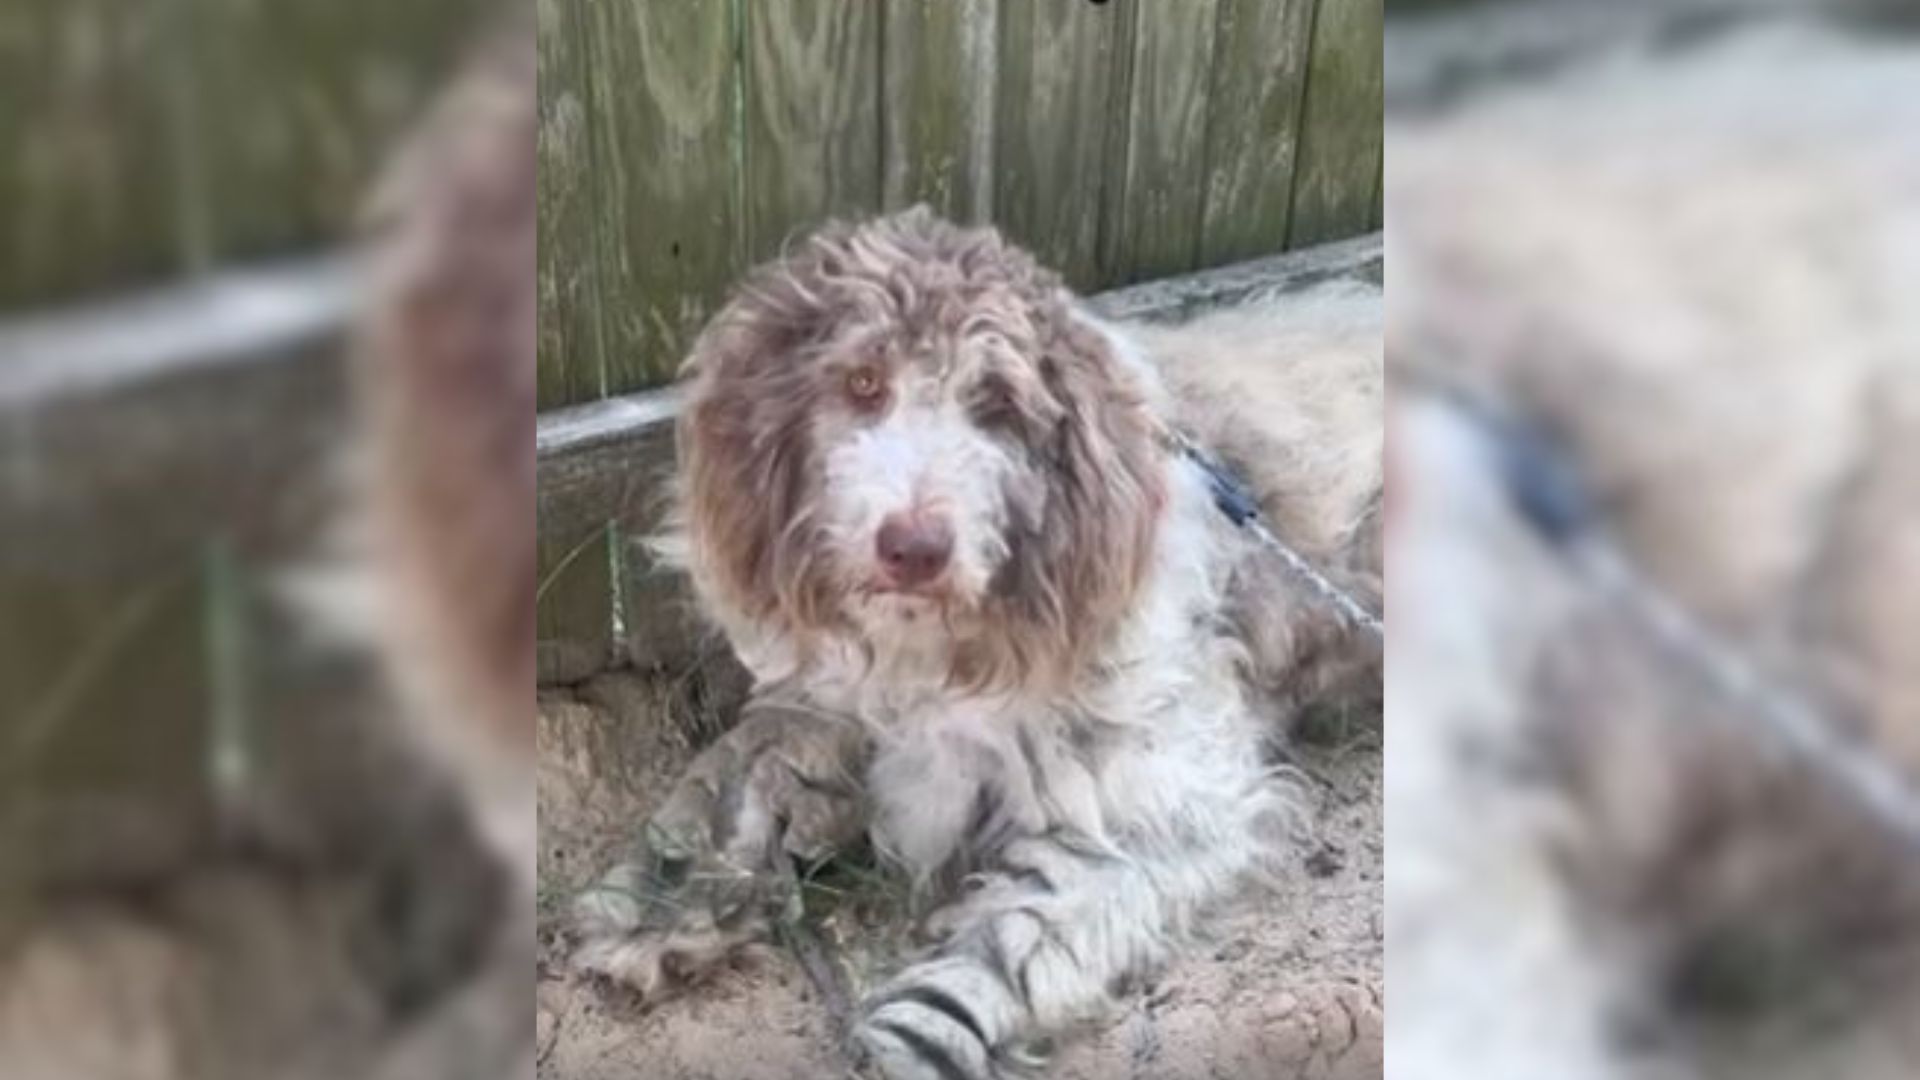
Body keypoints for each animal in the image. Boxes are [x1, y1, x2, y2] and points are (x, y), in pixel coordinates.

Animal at [568, 210, 1382, 1076]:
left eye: (996, 405)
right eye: (863, 383)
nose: (914, 548)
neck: (929, 653)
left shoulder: (1158, 814)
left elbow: (1005, 951)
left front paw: (911, 1042)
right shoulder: (828, 703)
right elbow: (738, 774)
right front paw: (660, 905)